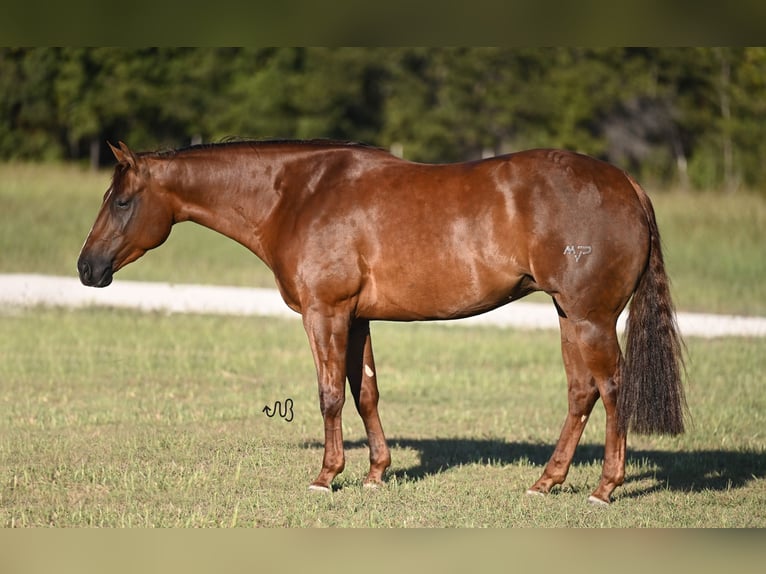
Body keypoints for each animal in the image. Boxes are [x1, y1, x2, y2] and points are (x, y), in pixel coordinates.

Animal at [81, 142, 688, 506]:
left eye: (122, 201)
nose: (87, 268)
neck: (299, 195)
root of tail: (628, 184)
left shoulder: (325, 312)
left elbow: (329, 393)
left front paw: (326, 477)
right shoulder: (357, 318)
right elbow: (364, 391)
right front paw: (376, 473)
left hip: (590, 318)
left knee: (611, 389)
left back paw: (604, 488)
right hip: (568, 315)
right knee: (581, 391)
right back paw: (546, 481)